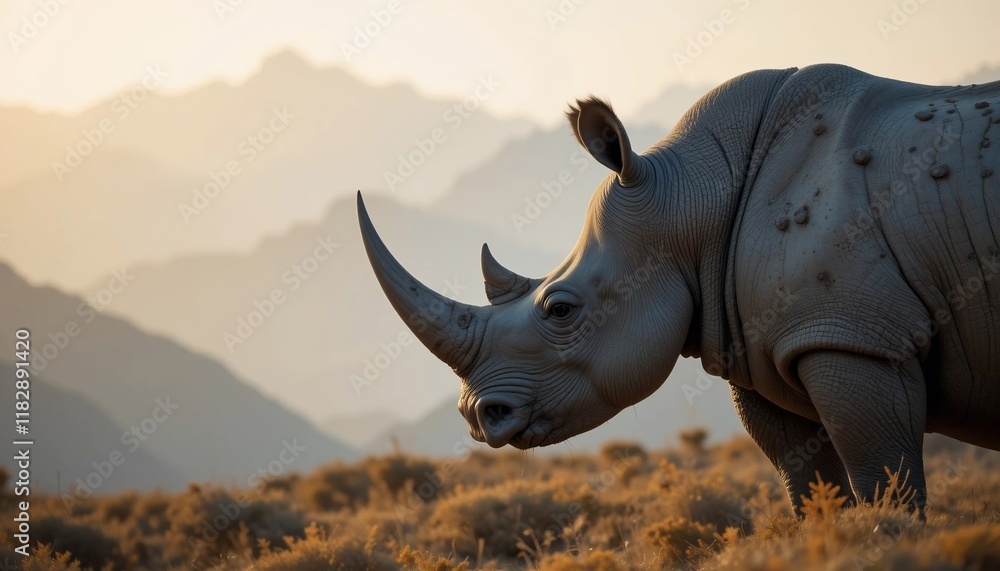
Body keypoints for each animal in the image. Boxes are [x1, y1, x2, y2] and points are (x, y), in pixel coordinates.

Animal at [358, 64, 1000, 513]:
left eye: (560, 309)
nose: (477, 416)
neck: (692, 197)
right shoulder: (764, 343)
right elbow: (811, 488)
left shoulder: (856, 336)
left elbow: (886, 484)